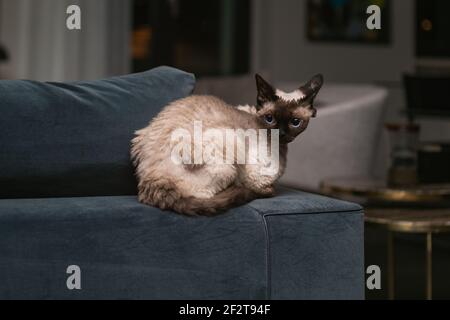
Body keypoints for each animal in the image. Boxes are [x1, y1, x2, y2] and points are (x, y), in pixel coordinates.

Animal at [130, 74, 324, 216]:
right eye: (270, 119)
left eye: (295, 122)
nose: (281, 133)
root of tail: (151, 182)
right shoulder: (255, 177)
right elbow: (264, 187)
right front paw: (267, 189)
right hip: (229, 150)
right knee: (207, 195)